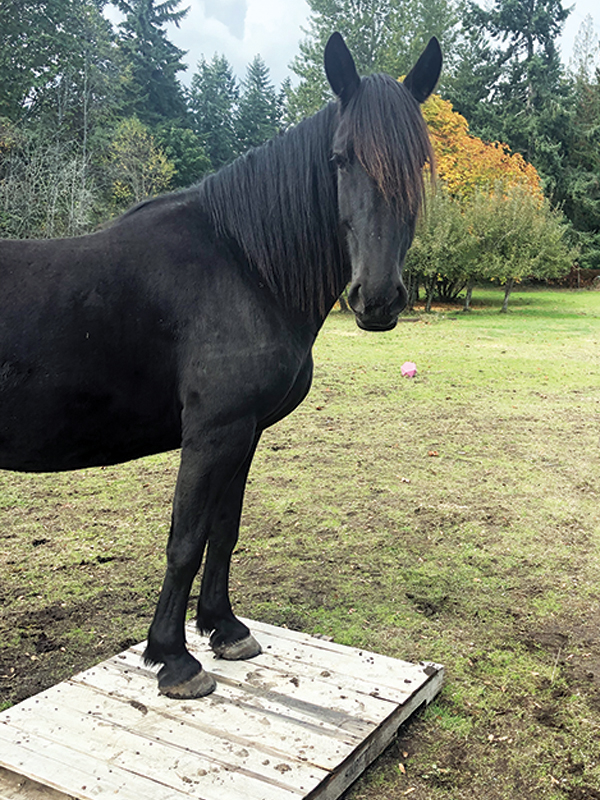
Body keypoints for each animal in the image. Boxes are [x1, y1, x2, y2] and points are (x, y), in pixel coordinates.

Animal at [0, 33, 441, 698]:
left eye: (416, 165)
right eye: (339, 159)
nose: (377, 299)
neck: (242, 263)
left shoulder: (245, 431)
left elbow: (223, 531)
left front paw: (224, 629)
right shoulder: (212, 433)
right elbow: (185, 540)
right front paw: (173, 658)